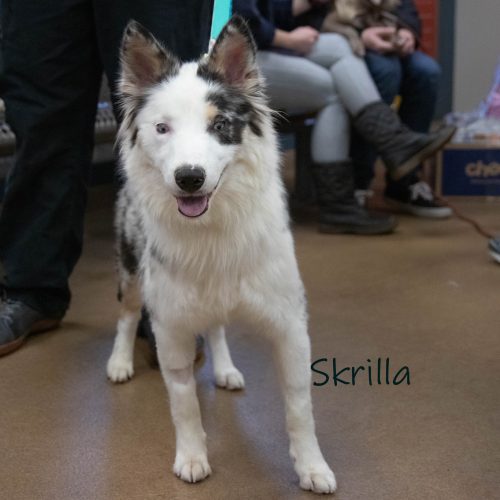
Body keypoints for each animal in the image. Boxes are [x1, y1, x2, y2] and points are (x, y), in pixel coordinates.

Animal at [106, 16, 336, 494]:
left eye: (221, 125)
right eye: (162, 128)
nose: (189, 178)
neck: (211, 229)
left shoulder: (290, 327)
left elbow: (299, 409)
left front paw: (311, 466)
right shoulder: (171, 329)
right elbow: (185, 406)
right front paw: (192, 457)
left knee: (215, 328)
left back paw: (226, 369)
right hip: (132, 269)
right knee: (127, 314)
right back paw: (119, 360)